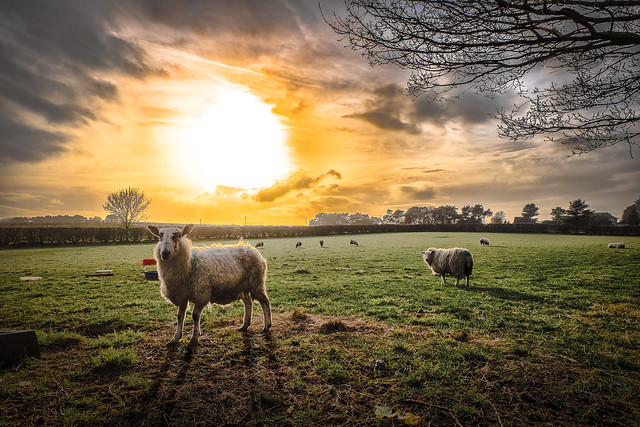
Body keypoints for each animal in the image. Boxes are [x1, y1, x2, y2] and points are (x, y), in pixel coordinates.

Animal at [148, 222, 272, 350]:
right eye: (160, 236)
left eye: (177, 236)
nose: (164, 253)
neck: (190, 264)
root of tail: (251, 249)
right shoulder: (182, 296)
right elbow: (180, 317)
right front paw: (175, 339)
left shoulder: (201, 294)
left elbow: (195, 316)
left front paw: (194, 339)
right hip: (242, 286)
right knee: (248, 303)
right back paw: (244, 326)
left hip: (256, 283)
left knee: (265, 302)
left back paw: (267, 326)